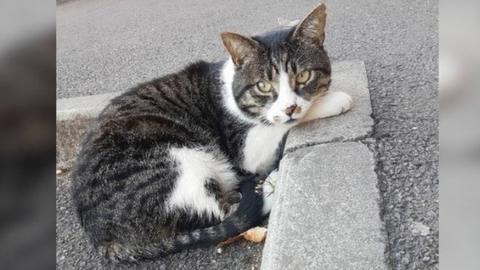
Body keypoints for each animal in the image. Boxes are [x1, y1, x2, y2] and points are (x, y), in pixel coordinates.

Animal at [71, 3, 350, 262]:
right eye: (263, 86)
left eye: (303, 76)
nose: (290, 107)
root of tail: (102, 238)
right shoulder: (248, 148)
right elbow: (282, 123)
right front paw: (333, 101)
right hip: (175, 160)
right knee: (224, 214)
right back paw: (270, 183)